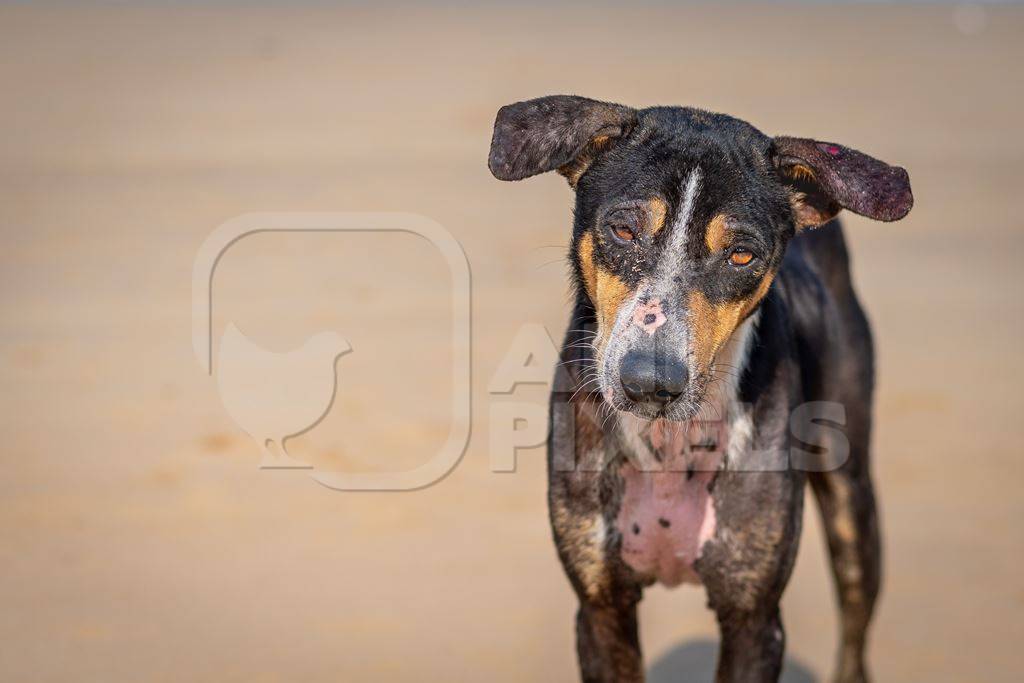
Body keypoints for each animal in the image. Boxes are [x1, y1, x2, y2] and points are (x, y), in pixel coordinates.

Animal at [487, 97, 913, 683]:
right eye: (623, 230)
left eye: (742, 255)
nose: (649, 380)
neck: (669, 445)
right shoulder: (600, 607)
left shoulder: (754, 619)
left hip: (851, 497)